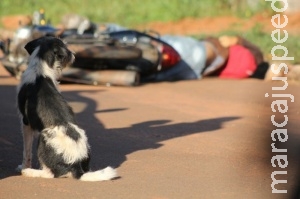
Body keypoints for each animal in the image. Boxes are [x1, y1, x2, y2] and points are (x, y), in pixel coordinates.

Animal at [16, 36, 117, 181]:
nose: (73, 54)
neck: (39, 69)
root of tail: (76, 166)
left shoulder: (26, 122)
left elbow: (26, 150)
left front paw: (23, 167)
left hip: (43, 136)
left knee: (50, 174)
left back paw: (29, 172)